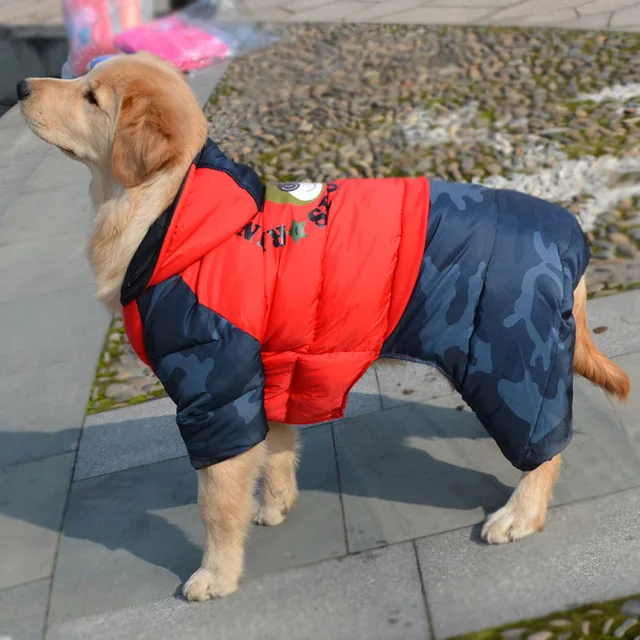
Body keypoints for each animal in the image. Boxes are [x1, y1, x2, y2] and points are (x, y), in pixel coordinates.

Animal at [18, 53, 632, 600]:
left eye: (92, 98)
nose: (21, 85)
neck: (174, 216)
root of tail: (569, 232)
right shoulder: (272, 373)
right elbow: (276, 452)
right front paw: (274, 504)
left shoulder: (213, 391)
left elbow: (215, 502)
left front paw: (216, 574)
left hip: (506, 354)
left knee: (545, 446)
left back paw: (520, 513)